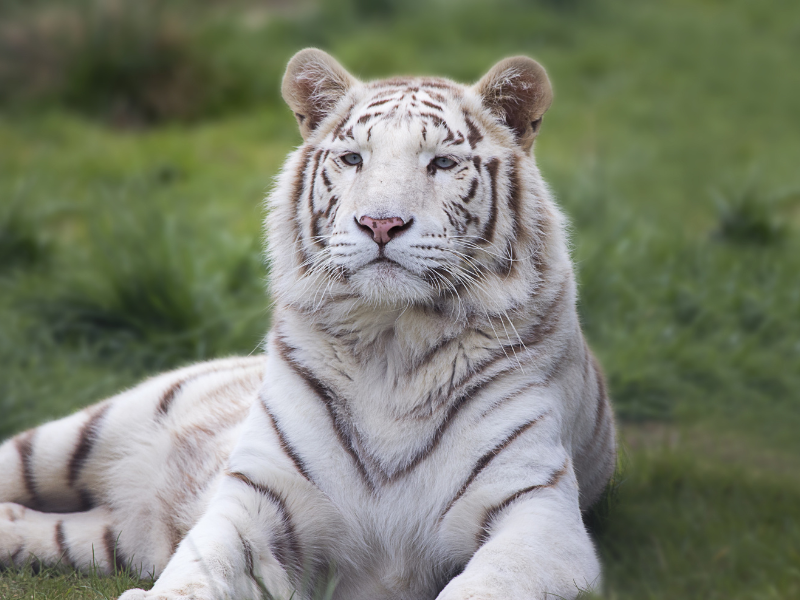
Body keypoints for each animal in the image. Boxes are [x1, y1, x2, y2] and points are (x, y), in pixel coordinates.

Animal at [0, 49, 616, 596]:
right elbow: (202, 564)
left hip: (107, 535)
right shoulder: (262, 495)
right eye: (353, 159)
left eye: (442, 162)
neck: (393, 342)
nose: (381, 223)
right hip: (84, 432)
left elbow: (486, 585)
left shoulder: (537, 514)